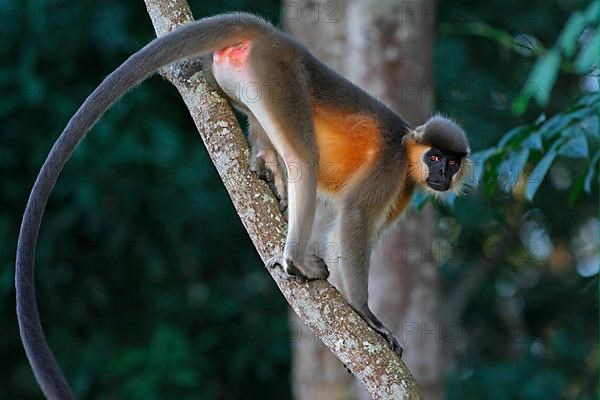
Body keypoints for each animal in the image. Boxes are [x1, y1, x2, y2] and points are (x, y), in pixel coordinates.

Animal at [15, 12, 468, 400]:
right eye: (434, 157)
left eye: (451, 162)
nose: (441, 175)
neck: (407, 155)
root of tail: (272, 35)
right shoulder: (390, 169)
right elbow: (353, 219)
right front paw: (366, 315)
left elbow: (338, 230)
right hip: (276, 75)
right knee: (304, 159)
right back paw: (294, 258)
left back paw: (267, 163)